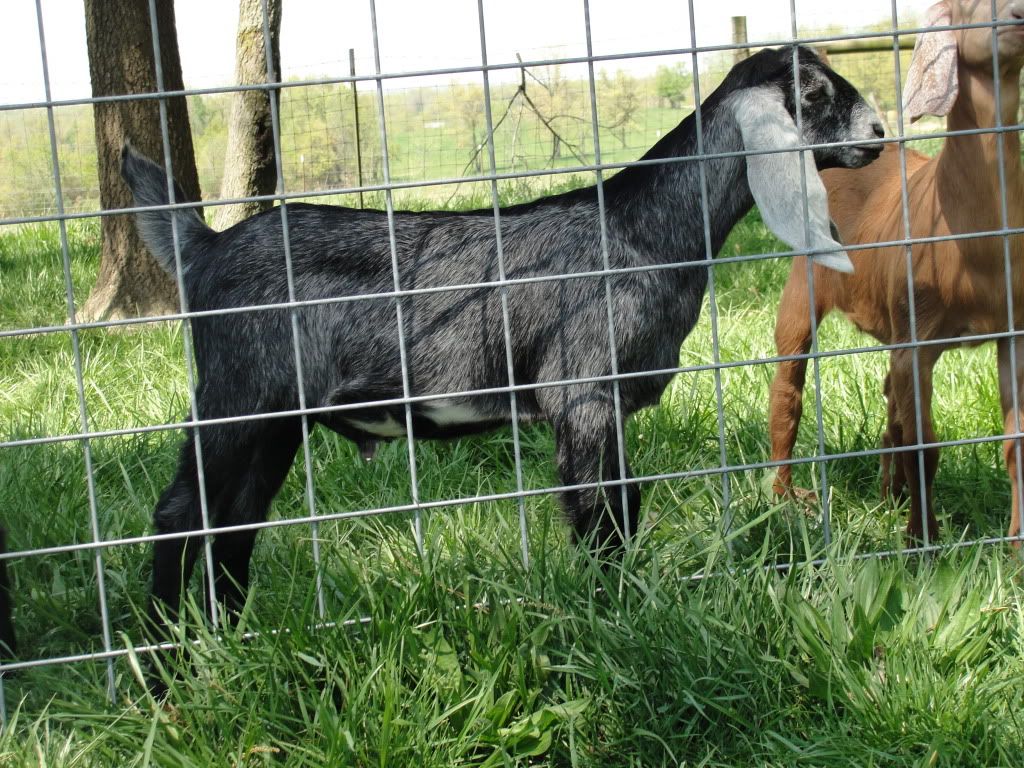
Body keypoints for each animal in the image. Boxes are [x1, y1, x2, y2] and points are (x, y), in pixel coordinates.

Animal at [122, 46, 882, 634]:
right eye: (813, 92)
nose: (877, 131)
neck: (640, 230)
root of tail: (203, 249)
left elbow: (627, 507)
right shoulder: (582, 396)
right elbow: (600, 515)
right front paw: (616, 618)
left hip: (277, 418)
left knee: (234, 522)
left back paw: (225, 639)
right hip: (235, 397)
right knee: (180, 516)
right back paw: (165, 666)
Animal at [769, 0, 1024, 543]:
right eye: (967, 7)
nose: (1018, 16)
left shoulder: (1012, 331)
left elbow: (1015, 443)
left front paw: (1015, 546)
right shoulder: (917, 337)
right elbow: (924, 446)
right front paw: (921, 543)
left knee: (890, 399)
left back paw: (890, 494)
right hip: (804, 284)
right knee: (788, 387)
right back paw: (784, 498)